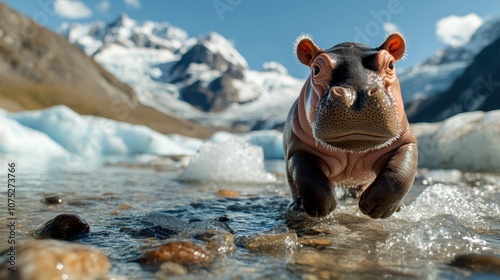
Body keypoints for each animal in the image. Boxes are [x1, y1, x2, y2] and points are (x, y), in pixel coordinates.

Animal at [284, 32, 416, 220]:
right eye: (316, 69)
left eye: (391, 64)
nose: (355, 96)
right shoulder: (299, 148)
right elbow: (310, 179)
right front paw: (322, 209)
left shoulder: (404, 141)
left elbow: (399, 175)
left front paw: (374, 209)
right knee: (294, 186)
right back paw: (296, 206)